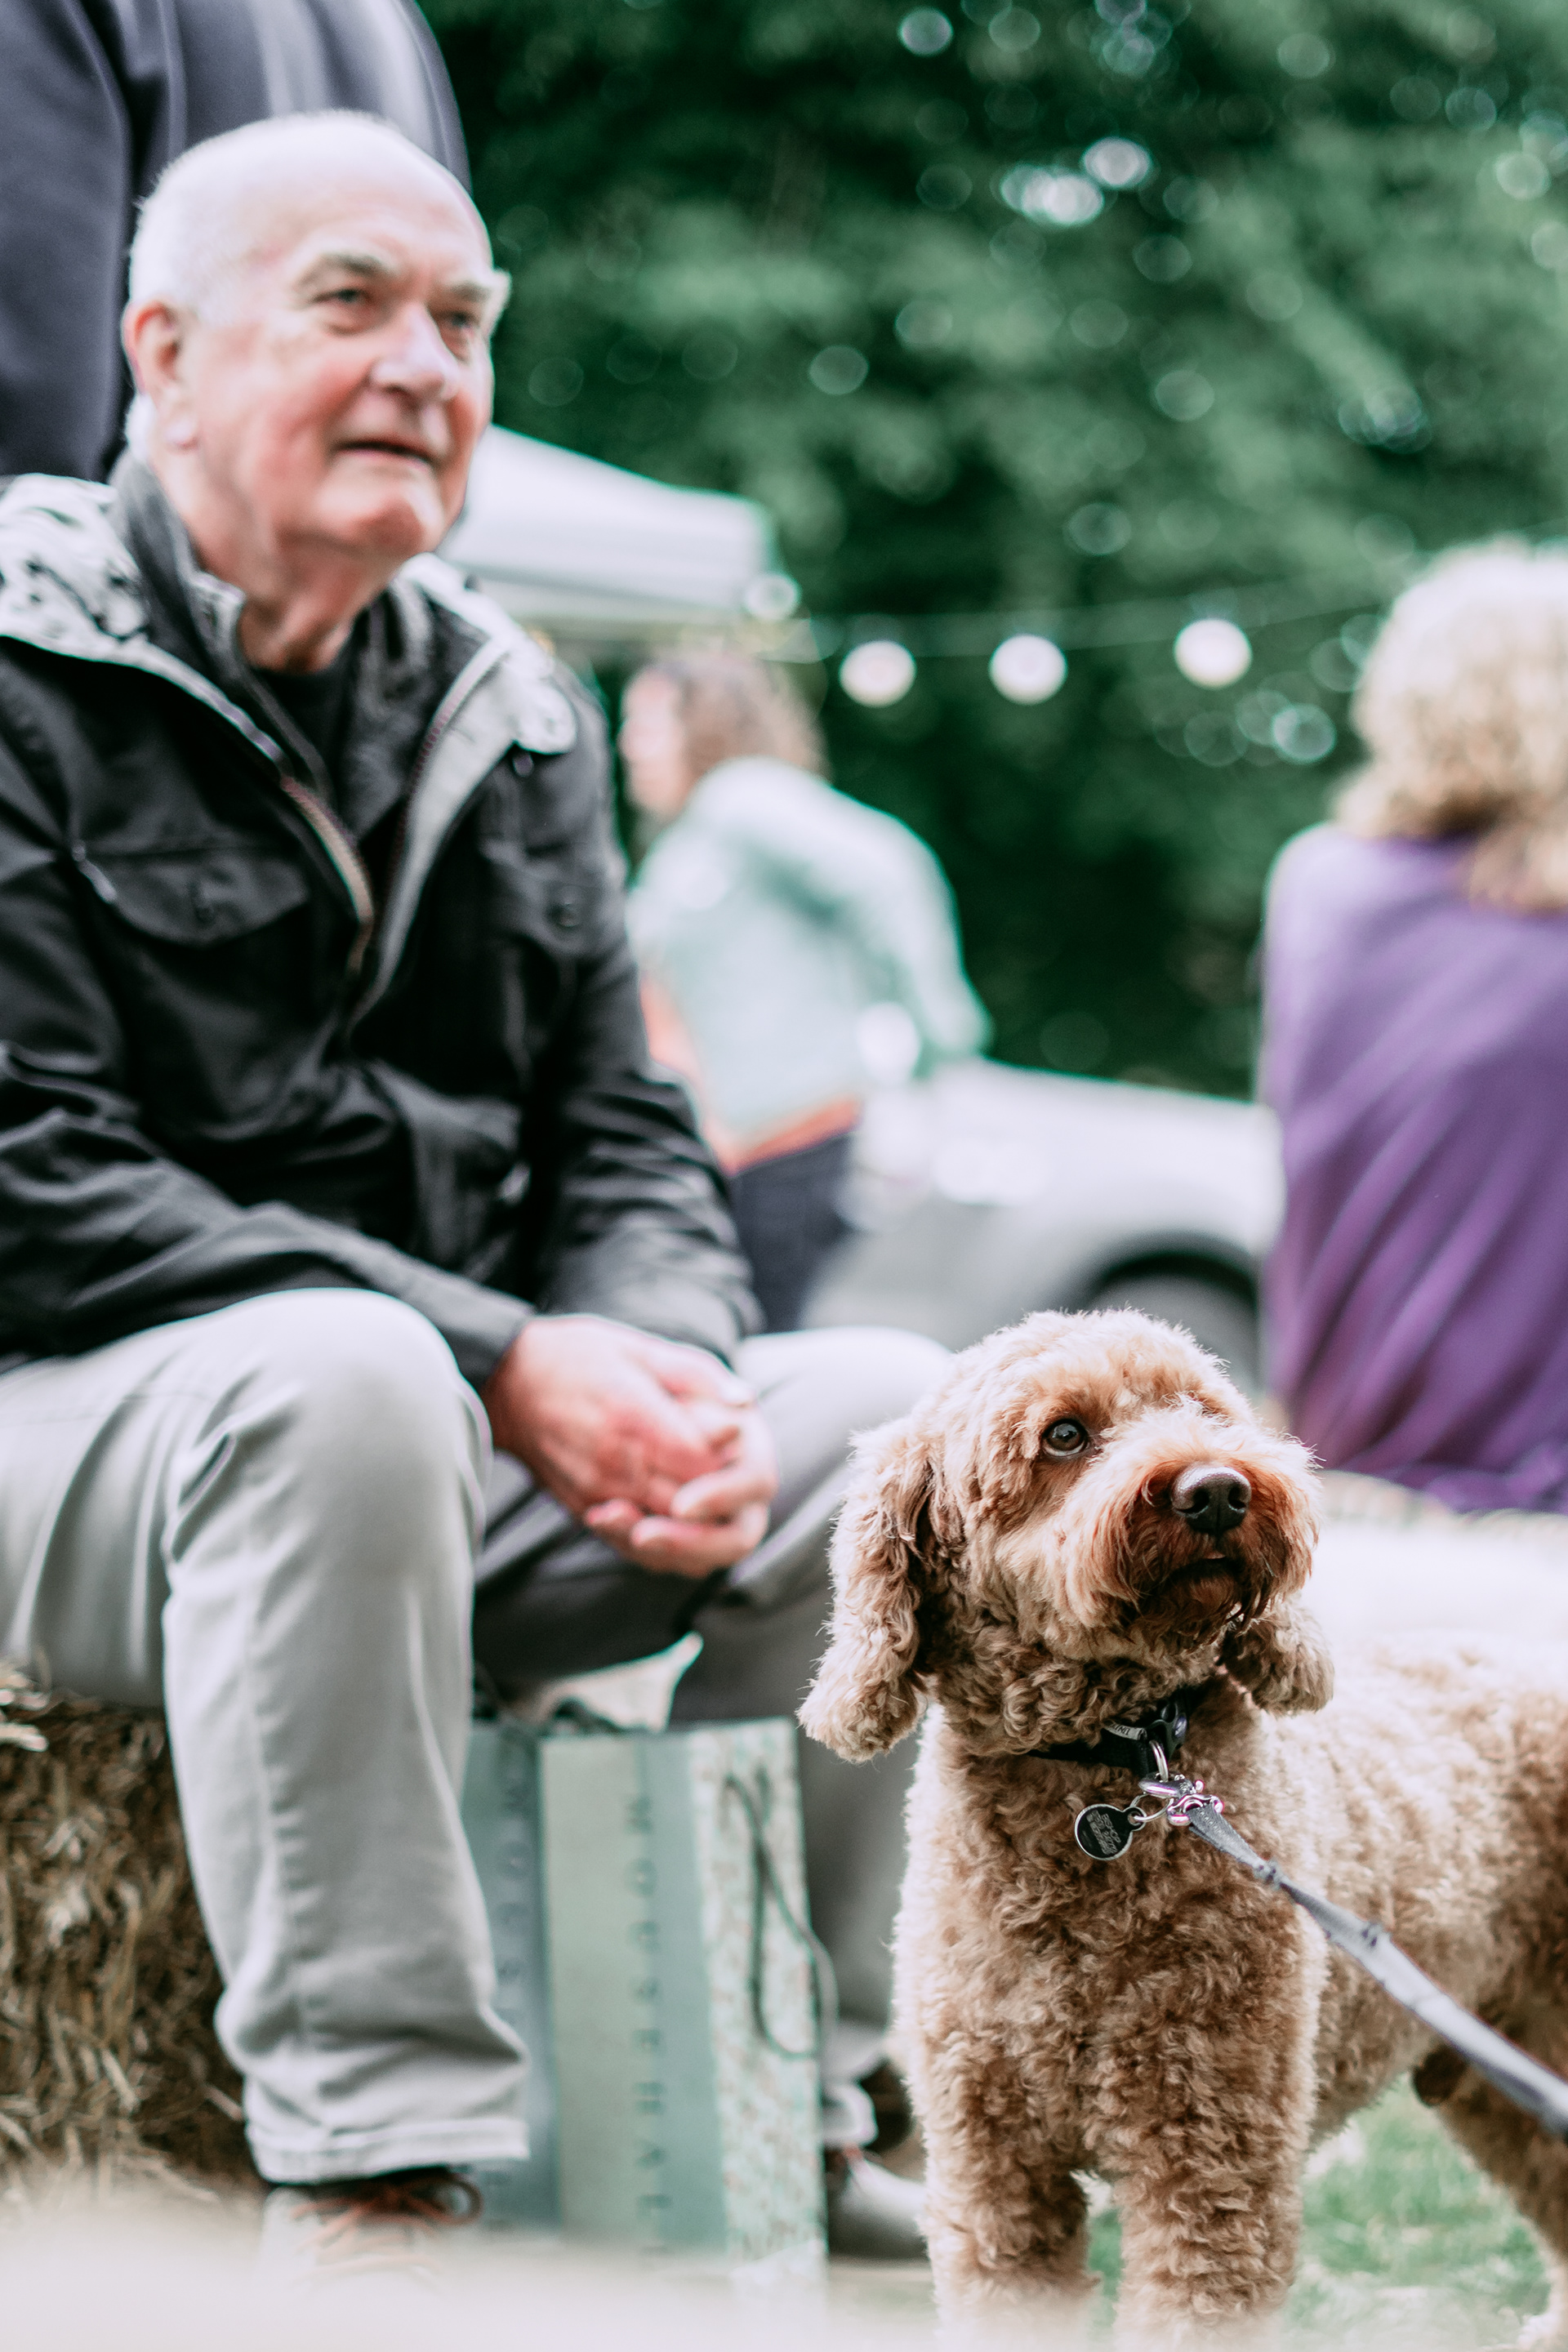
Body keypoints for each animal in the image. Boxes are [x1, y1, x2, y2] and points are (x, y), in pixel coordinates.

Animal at [801, 1310, 1568, 2351]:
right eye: (1066, 1435)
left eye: (1205, 1411)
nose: (1218, 1490)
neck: (1118, 1767)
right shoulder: (995, 2178)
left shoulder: (1209, 2165)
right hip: (1504, 2072)